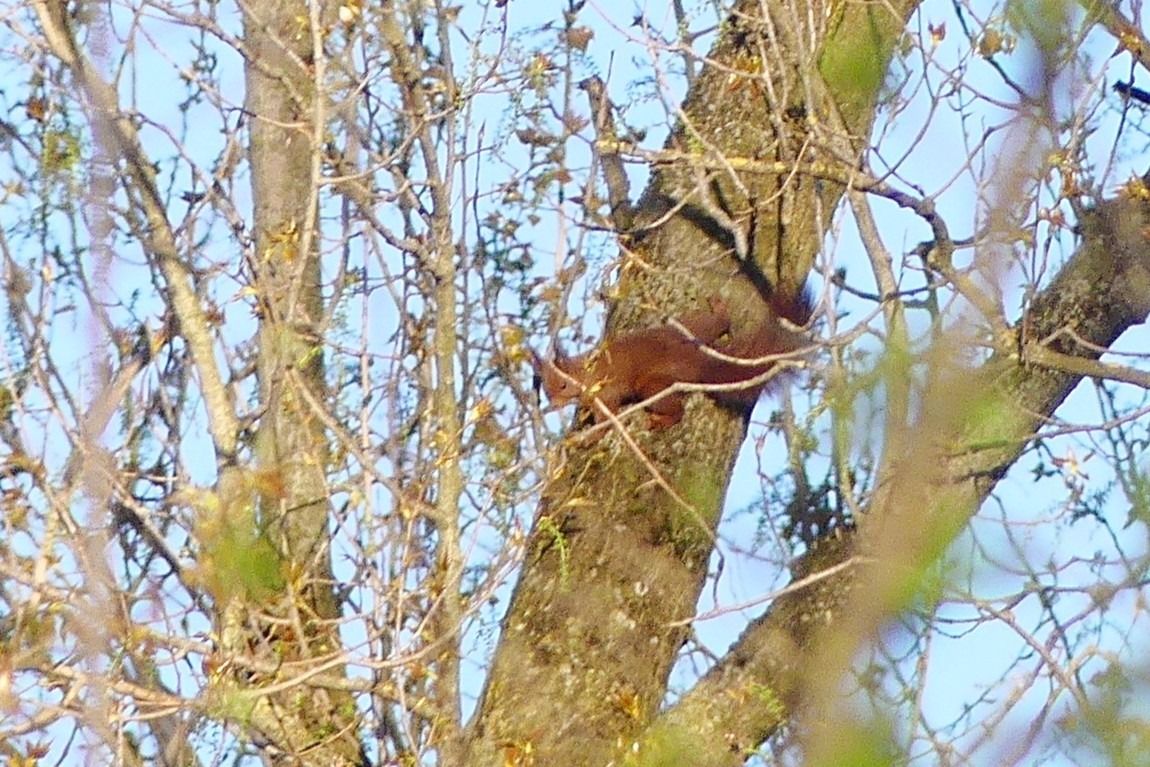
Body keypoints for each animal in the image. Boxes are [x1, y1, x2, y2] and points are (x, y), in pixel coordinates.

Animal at [533, 288, 812, 431]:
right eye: (545, 389)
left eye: (563, 385)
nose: (553, 404)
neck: (586, 374)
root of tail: (700, 361)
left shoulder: (607, 394)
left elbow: (606, 421)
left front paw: (587, 439)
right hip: (691, 329)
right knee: (717, 323)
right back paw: (720, 309)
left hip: (652, 385)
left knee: (677, 411)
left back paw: (662, 421)